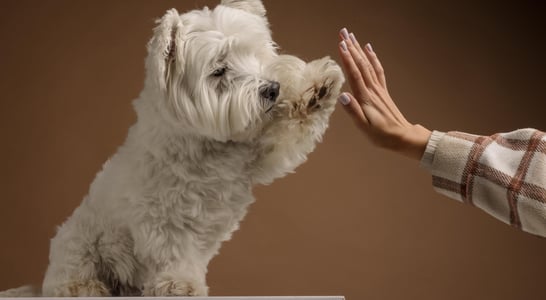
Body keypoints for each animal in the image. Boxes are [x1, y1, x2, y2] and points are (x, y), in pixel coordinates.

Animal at [1, 0, 340, 296]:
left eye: (254, 53)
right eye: (219, 70)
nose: (272, 89)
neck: (208, 143)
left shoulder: (259, 154)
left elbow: (288, 135)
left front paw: (318, 89)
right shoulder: (162, 214)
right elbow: (174, 252)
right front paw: (180, 285)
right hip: (79, 241)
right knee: (69, 274)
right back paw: (84, 287)